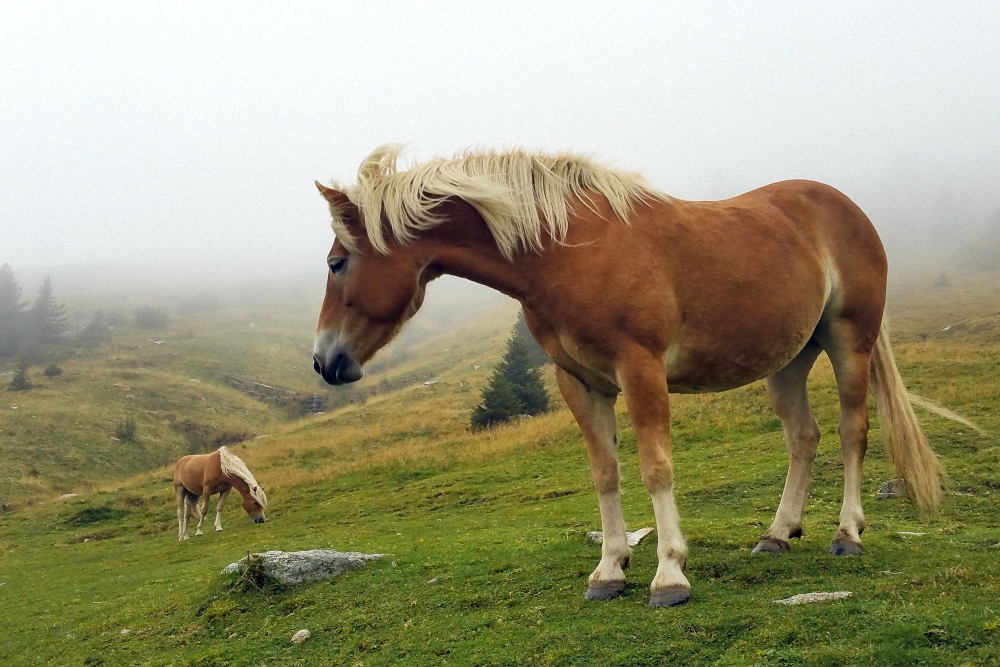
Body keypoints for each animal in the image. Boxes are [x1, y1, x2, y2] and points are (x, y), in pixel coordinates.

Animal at [312, 145, 952, 604]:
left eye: (338, 262)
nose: (325, 361)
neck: (568, 252)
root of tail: (847, 209)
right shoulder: (579, 381)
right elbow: (606, 473)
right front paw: (609, 570)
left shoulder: (640, 368)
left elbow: (655, 467)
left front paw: (669, 575)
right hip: (789, 359)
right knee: (803, 437)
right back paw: (776, 534)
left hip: (849, 342)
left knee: (852, 432)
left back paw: (847, 535)